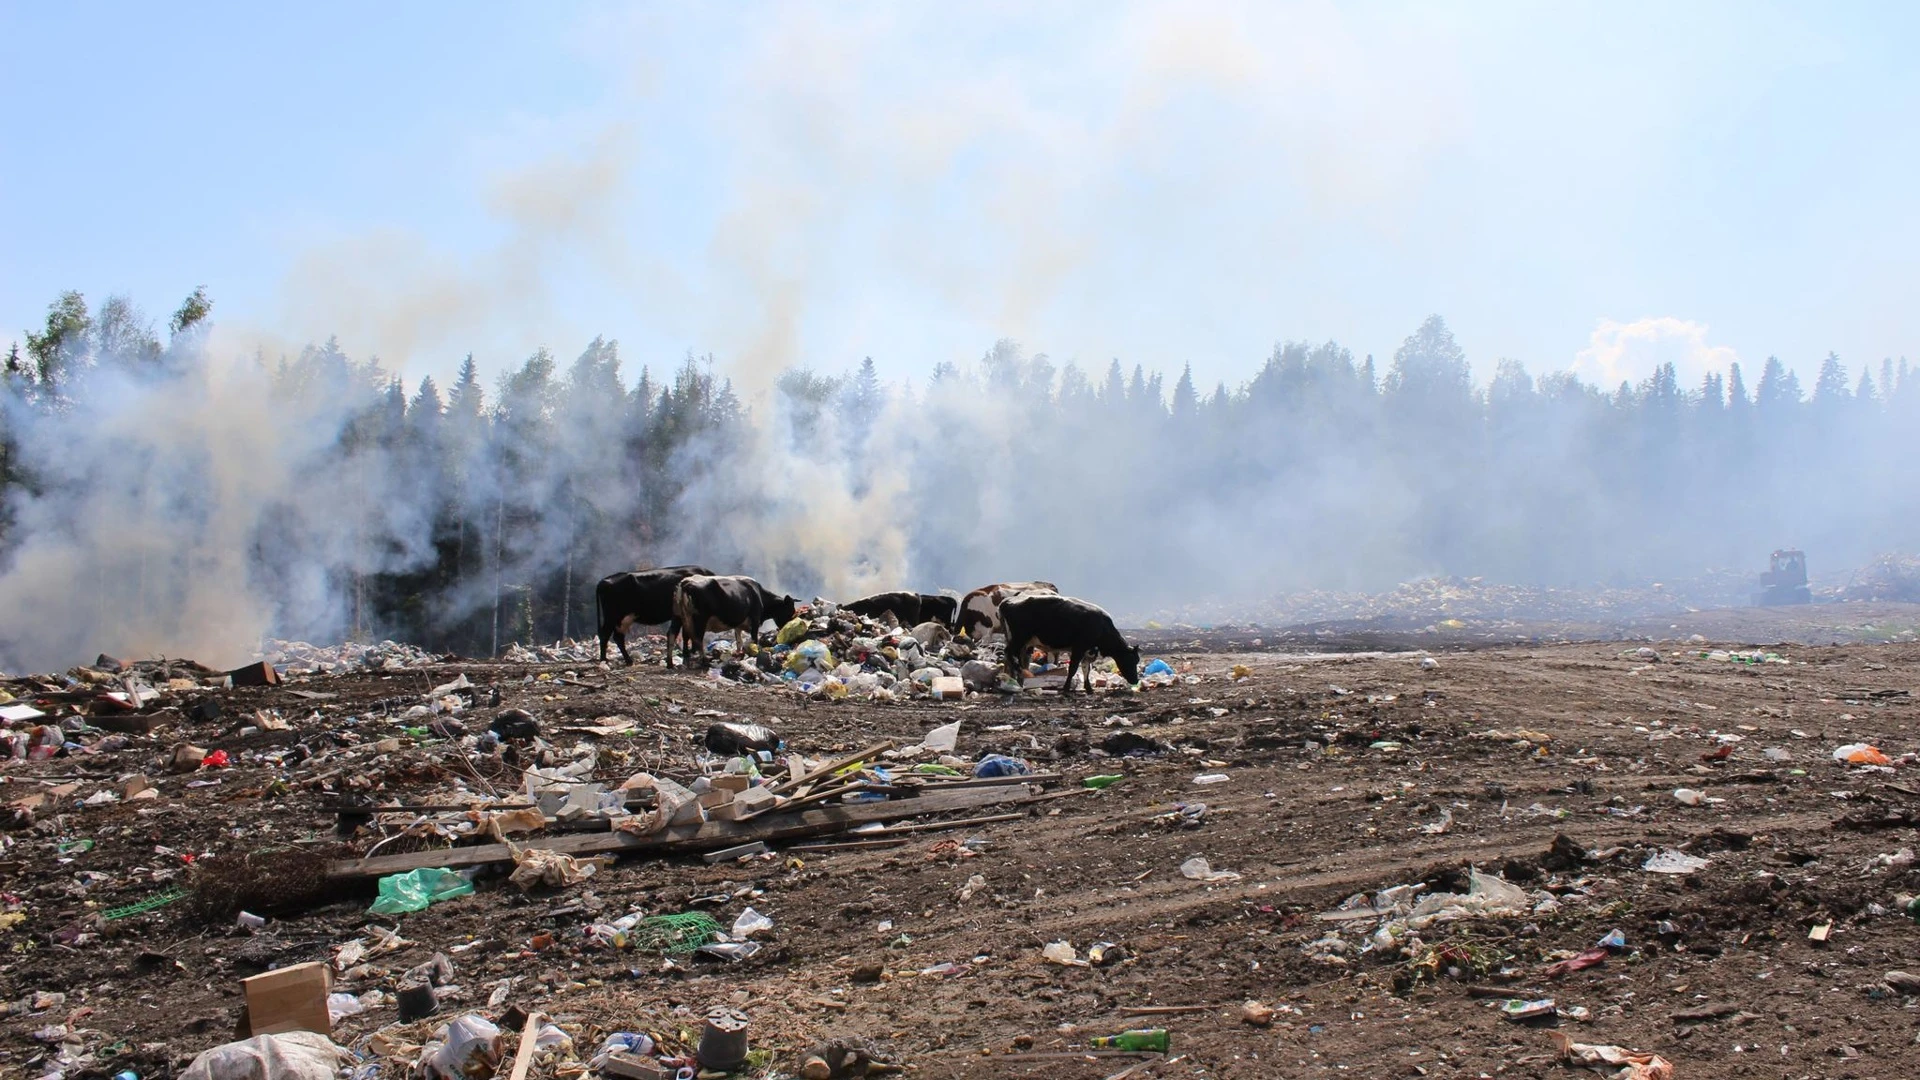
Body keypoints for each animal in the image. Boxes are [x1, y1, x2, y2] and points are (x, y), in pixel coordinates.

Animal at [1006, 591, 1136, 691]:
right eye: (1131, 660)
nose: (1135, 680)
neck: (1102, 627)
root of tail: (1009, 600)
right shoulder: (1079, 648)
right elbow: (1073, 668)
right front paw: (1066, 687)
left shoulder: (1089, 651)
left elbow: (1086, 668)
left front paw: (1088, 688)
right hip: (1019, 638)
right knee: (1008, 652)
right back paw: (1020, 671)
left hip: (1022, 641)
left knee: (1015, 657)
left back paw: (1019, 679)